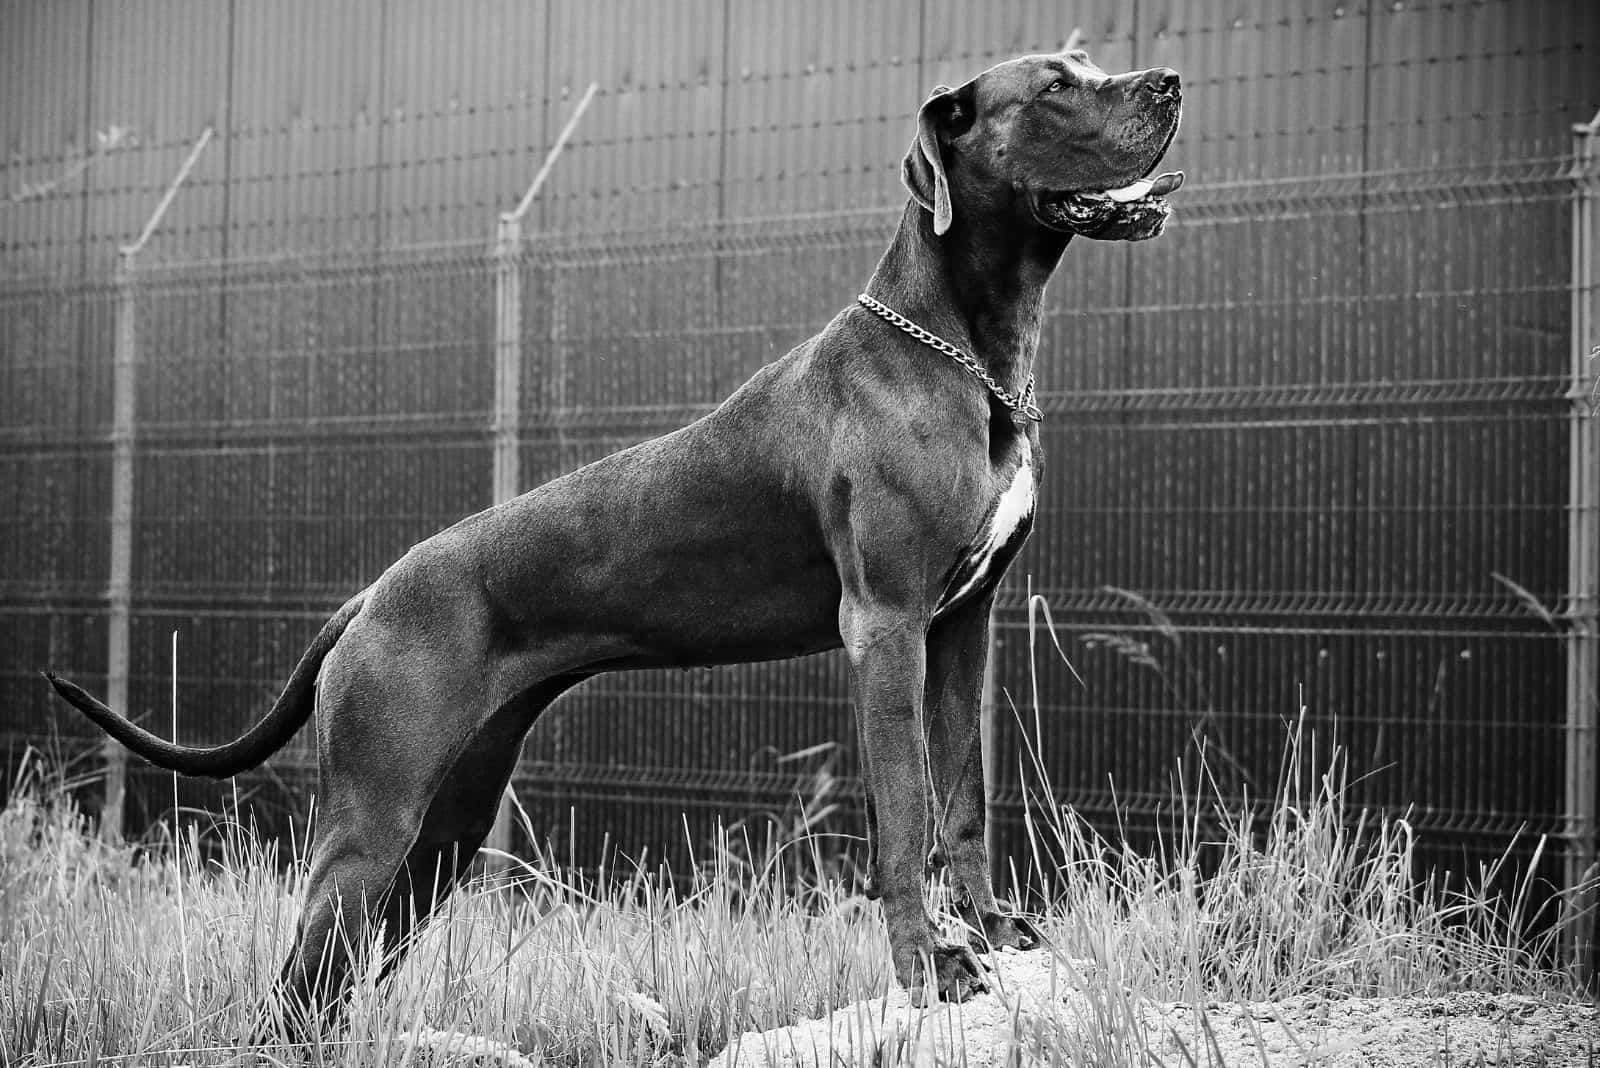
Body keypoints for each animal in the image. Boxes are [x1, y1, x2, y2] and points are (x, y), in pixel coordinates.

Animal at [46, 47, 1177, 1023]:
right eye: (1054, 87)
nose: (1170, 80)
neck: (961, 354)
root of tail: (369, 595)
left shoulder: (961, 626)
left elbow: (964, 795)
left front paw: (990, 929)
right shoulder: (887, 626)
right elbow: (904, 815)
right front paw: (929, 965)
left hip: (443, 834)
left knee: (330, 981)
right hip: (373, 822)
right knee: (294, 981)